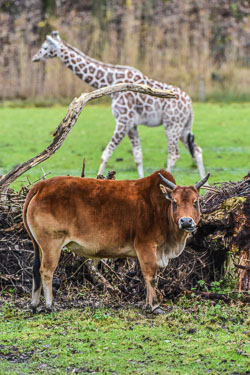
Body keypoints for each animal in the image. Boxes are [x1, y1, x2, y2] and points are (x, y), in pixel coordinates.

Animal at [23, 170, 209, 314]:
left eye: (196, 202)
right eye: (175, 202)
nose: (186, 221)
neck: (161, 209)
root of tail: (42, 186)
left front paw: (147, 304)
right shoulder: (146, 246)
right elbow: (151, 276)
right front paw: (155, 306)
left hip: (40, 245)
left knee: (36, 269)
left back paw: (35, 304)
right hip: (51, 243)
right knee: (46, 271)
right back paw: (49, 304)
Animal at [32, 30, 206, 180]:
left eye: (45, 47)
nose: (34, 58)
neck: (110, 82)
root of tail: (190, 105)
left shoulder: (123, 121)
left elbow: (106, 154)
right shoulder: (132, 124)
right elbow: (138, 156)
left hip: (171, 125)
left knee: (174, 155)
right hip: (183, 127)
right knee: (197, 150)